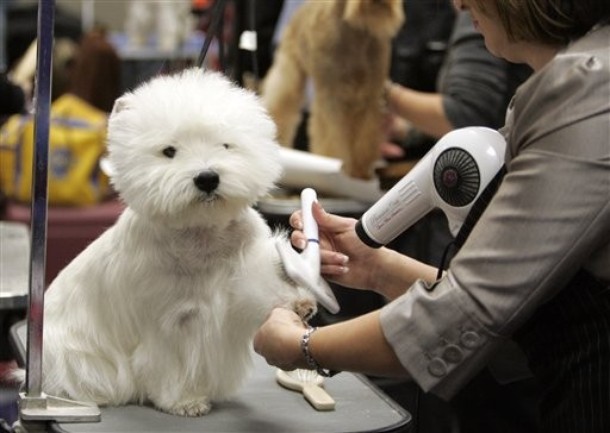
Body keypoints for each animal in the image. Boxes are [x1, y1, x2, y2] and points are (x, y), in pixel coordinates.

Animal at [39, 68, 314, 416]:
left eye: (226, 145)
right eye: (169, 151)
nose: (207, 178)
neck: (202, 233)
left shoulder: (240, 279)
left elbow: (259, 288)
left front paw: (299, 302)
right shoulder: (169, 322)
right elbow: (171, 364)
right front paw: (185, 402)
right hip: (72, 355)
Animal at [258, 0, 402, 179]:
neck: (355, 32)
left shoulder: (371, 94)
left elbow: (366, 137)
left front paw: (360, 170)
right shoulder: (331, 94)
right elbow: (331, 139)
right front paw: (337, 165)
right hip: (288, 72)